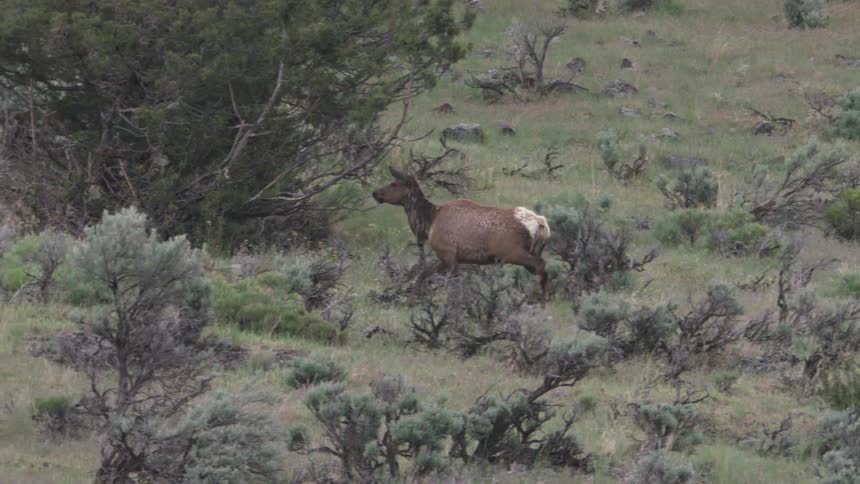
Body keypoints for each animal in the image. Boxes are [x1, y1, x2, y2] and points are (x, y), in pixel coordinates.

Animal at [372, 167, 551, 305]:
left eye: (394, 184)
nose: (375, 192)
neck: (429, 224)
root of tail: (542, 223)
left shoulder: (448, 253)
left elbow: (451, 285)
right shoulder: (448, 257)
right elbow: (424, 273)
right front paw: (410, 302)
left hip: (512, 252)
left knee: (540, 265)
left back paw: (530, 299)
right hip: (532, 251)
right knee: (543, 269)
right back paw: (543, 302)